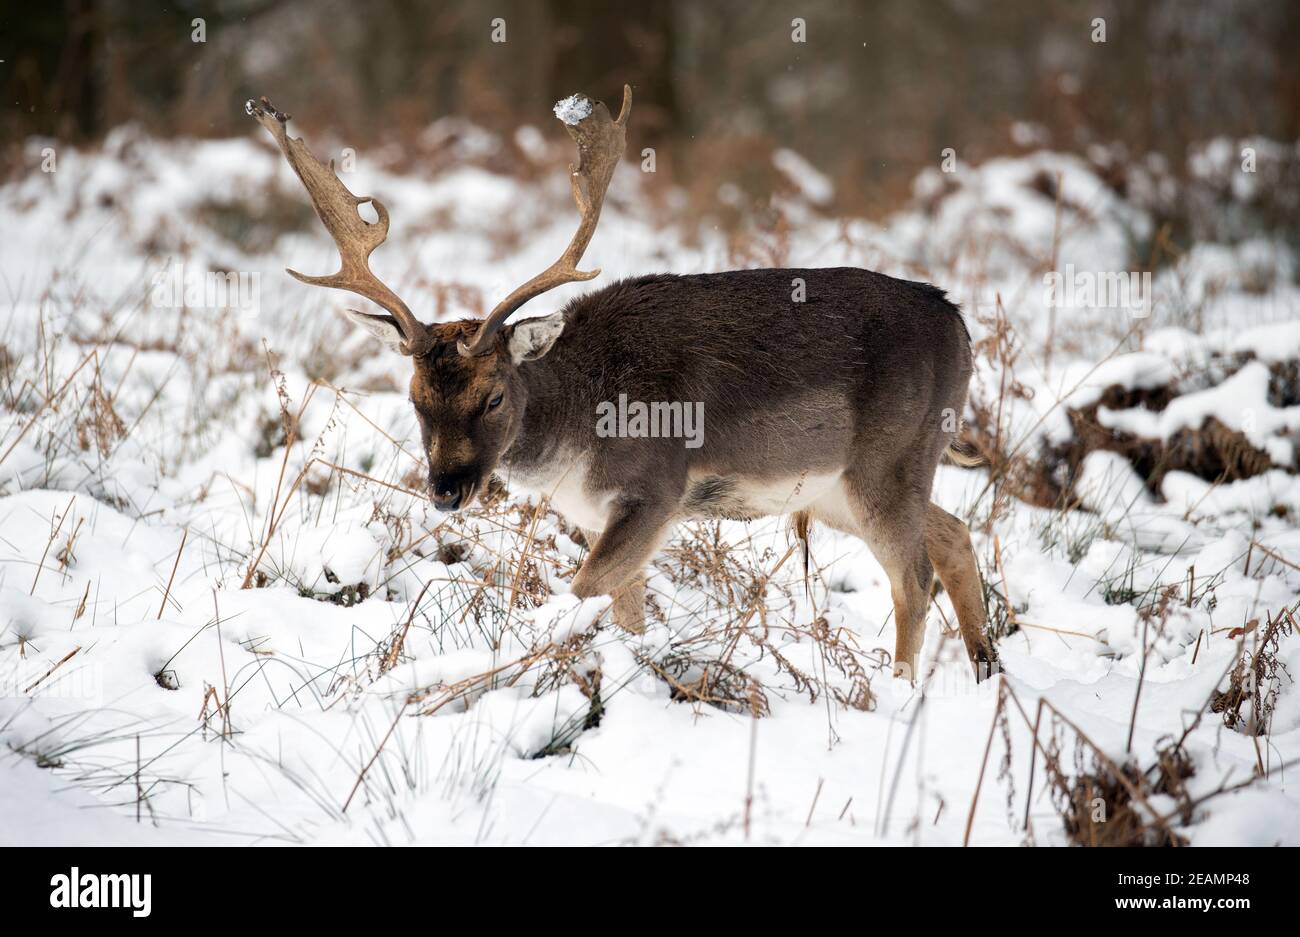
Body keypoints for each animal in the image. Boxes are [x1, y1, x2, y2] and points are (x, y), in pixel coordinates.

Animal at [248, 87, 998, 680]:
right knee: (955, 532)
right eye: (414, 399)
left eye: (494, 396)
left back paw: (901, 694)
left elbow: (580, 593)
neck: (577, 435)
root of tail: (962, 326)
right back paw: (987, 667)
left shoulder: (655, 489)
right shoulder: (597, 514)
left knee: (913, 580)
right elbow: (626, 614)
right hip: (842, 484)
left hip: (886, 461)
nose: (446, 489)